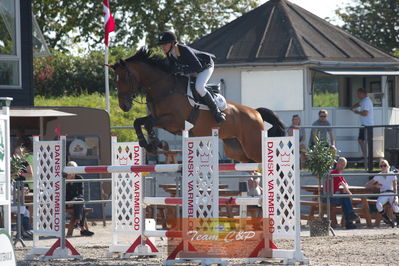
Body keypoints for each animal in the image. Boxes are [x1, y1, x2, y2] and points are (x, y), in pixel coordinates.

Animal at [111, 47, 286, 162]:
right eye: (115, 80)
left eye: (125, 78)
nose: (124, 106)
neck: (164, 88)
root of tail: (256, 112)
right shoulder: (158, 118)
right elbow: (139, 122)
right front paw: (147, 144)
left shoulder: (175, 121)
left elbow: (148, 124)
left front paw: (156, 144)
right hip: (236, 149)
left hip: (253, 146)